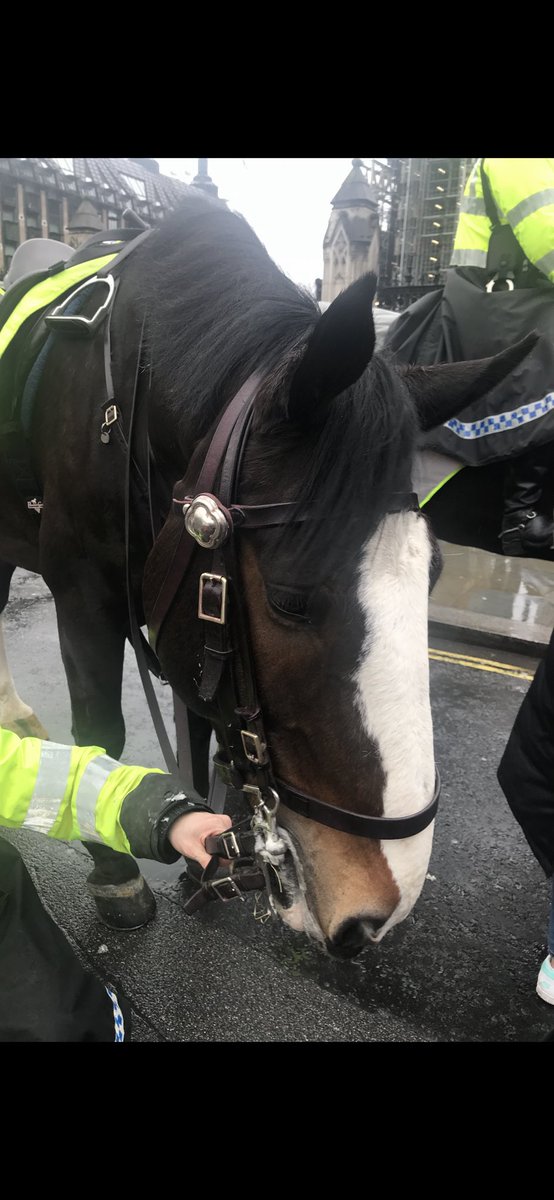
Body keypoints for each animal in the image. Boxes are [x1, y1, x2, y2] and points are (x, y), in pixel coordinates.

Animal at [0, 191, 536, 957]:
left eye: (433, 574)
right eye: (291, 598)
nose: (377, 913)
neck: (128, 395)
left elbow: (201, 720)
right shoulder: (80, 590)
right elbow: (101, 729)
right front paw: (115, 872)